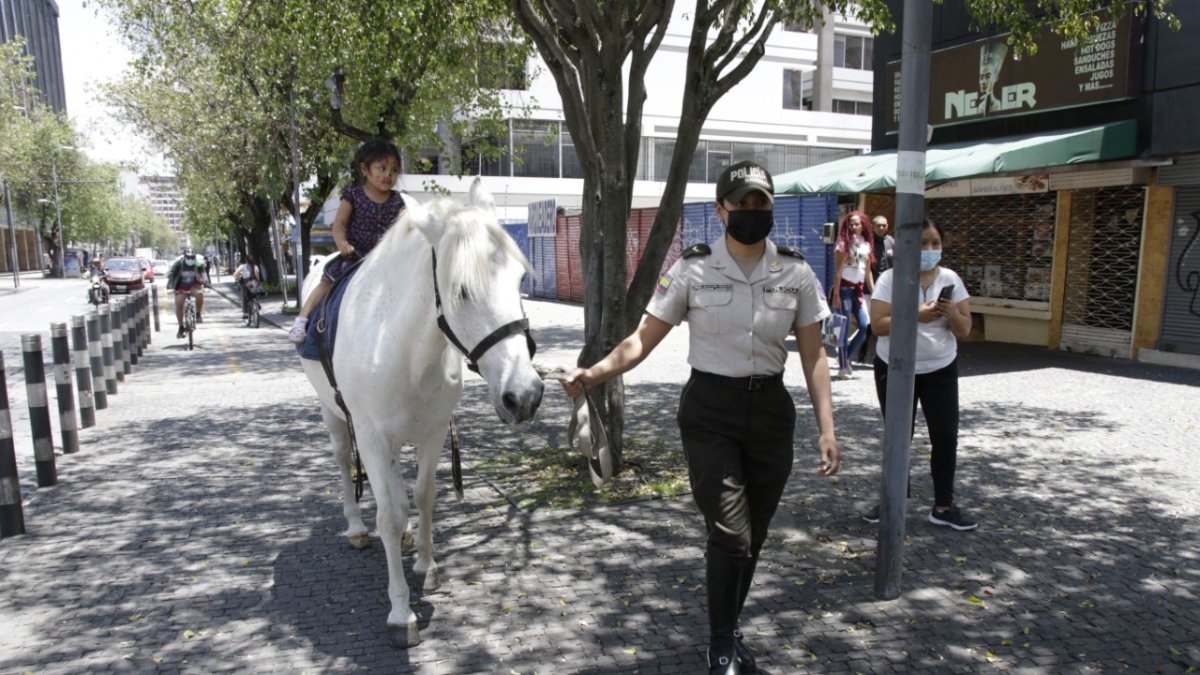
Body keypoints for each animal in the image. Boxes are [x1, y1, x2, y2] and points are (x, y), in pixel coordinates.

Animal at [299, 179, 544, 647]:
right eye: (461, 290)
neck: (402, 349)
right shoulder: (371, 438)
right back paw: (356, 528)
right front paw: (400, 612)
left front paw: (427, 566)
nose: (524, 395)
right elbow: (389, 516)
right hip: (333, 414)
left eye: (521, 279)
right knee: (343, 463)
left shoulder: (432, 432)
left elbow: (424, 495)